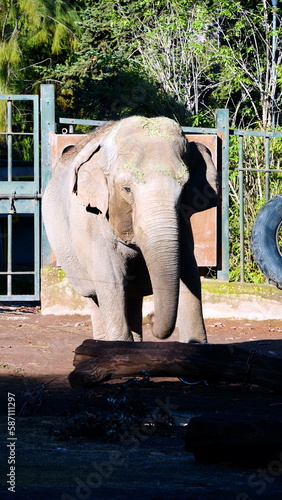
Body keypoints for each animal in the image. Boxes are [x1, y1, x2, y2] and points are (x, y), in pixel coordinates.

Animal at [42, 117, 218, 344]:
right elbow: (111, 280)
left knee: (132, 295)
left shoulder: (183, 225)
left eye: (185, 188)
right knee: (94, 295)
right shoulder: (93, 219)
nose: (151, 318)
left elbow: (190, 273)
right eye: (126, 189)